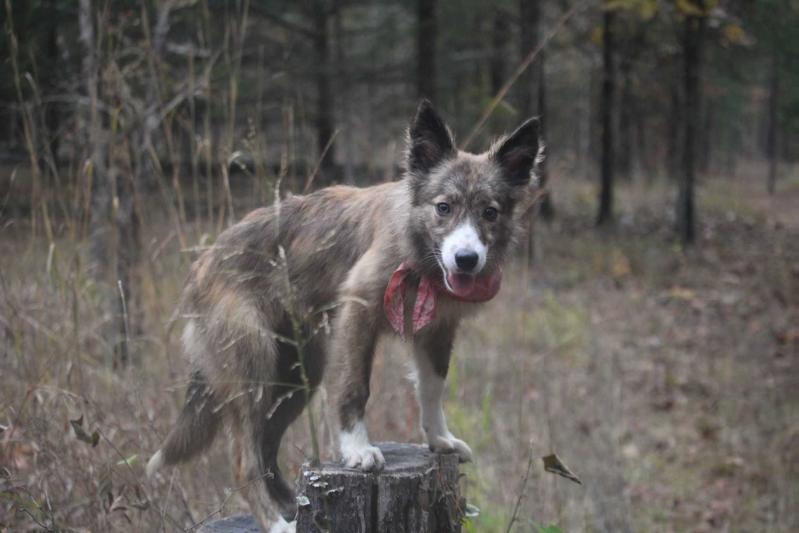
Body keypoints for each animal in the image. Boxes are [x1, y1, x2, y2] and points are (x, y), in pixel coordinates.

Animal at [145, 102, 544, 528]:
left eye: (490, 212)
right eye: (444, 208)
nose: (466, 259)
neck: (418, 252)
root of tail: (203, 262)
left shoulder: (438, 331)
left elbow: (432, 388)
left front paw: (439, 440)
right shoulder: (358, 315)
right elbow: (355, 387)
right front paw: (357, 449)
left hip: (295, 378)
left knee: (266, 447)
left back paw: (291, 504)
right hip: (254, 372)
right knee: (243, 461)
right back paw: (277, 523)